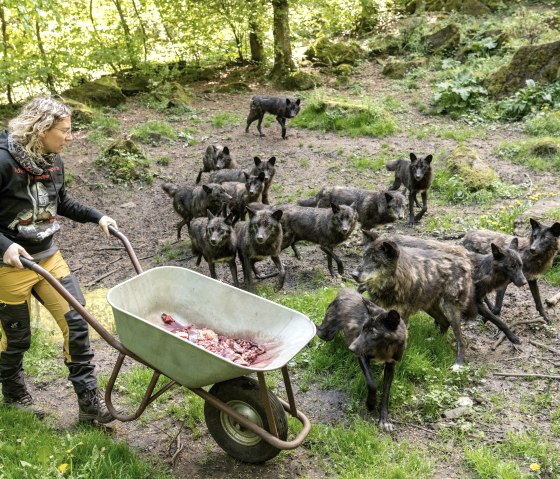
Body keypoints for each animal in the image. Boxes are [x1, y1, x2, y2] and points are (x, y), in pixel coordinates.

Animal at [316, 288, 406, 436]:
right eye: (363, 329)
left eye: (373, 333)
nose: (351, 348)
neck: (384, 349)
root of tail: (345, 290)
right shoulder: (362, 356)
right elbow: (372, 383)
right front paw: (370, 404)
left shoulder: (391, 366)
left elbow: (386, 394)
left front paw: (384, 420)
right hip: (327, 333)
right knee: (316, 328)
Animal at [352, 231, 474, 370]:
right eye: (364, 256)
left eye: (375, 260)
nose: (353, 275)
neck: (389, 285)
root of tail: (466, 262)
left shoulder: (401, 318)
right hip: (430, 307)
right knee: (444, 323)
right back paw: (434, 340)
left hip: (450, 309)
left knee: (461, 339)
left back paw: (458, 364)